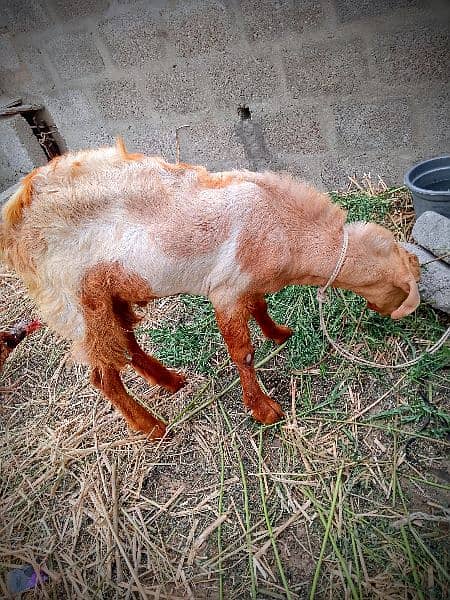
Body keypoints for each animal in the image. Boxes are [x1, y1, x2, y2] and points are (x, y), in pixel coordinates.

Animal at [1, 143, 420, 438]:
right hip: (77, 307)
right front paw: (264, 410)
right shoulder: (226, 290)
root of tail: (16, 222)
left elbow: (260, 306)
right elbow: (243, 353)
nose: (392, 315)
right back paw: (152, 428)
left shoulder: (245, 283)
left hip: (109, 297)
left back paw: (172, 382)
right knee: (104, 376)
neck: (287, 228)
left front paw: (279, 334)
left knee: (129, 347)